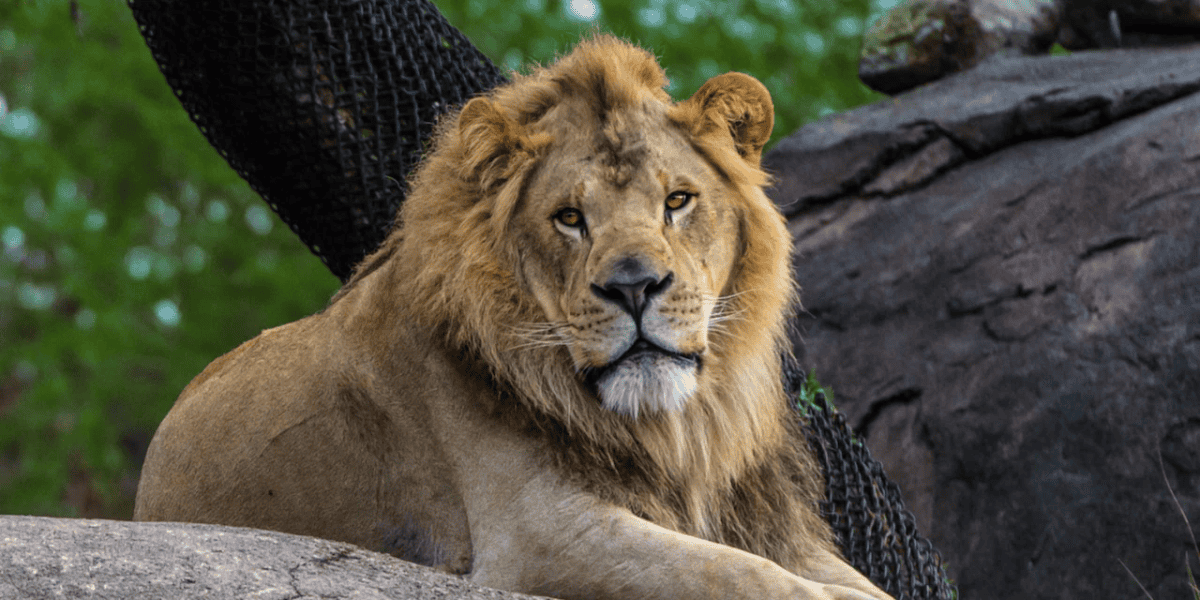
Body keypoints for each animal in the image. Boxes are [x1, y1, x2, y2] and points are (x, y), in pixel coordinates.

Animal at [136, 35, 897, 597]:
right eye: (570, 217)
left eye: (678, 200)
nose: (634, 286)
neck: (677, 429)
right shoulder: (541, 534)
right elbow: (748, 576)